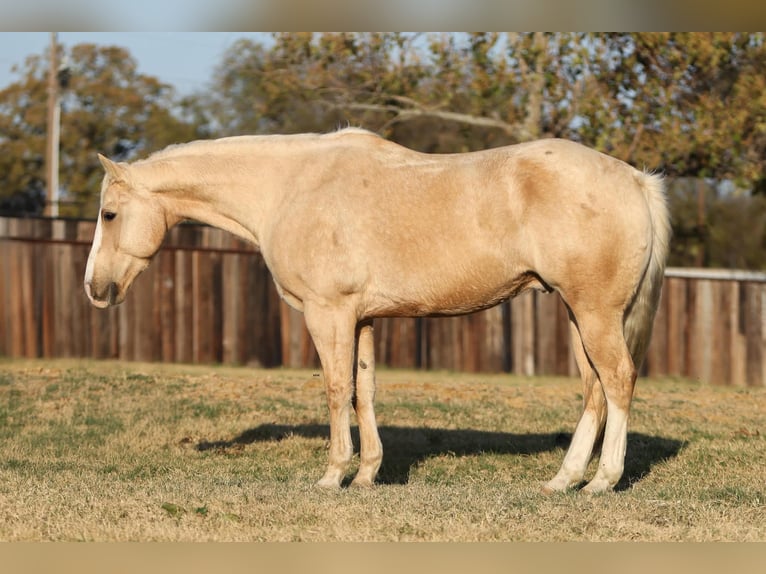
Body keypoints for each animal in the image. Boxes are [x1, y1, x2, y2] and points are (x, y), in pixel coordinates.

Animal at [84, 127, 670, 493]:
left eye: (109, 214)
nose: (94, 288)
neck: (290, 187)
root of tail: (635, 179)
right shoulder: (361, 319)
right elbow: (363, 389)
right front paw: (367, 475)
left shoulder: (328, 314)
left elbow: (335, 389)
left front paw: (332, 476)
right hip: (579, 315)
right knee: (594, 391)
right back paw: (564, 480)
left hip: (595, 314)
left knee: (618, 382)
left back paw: (602, 481)